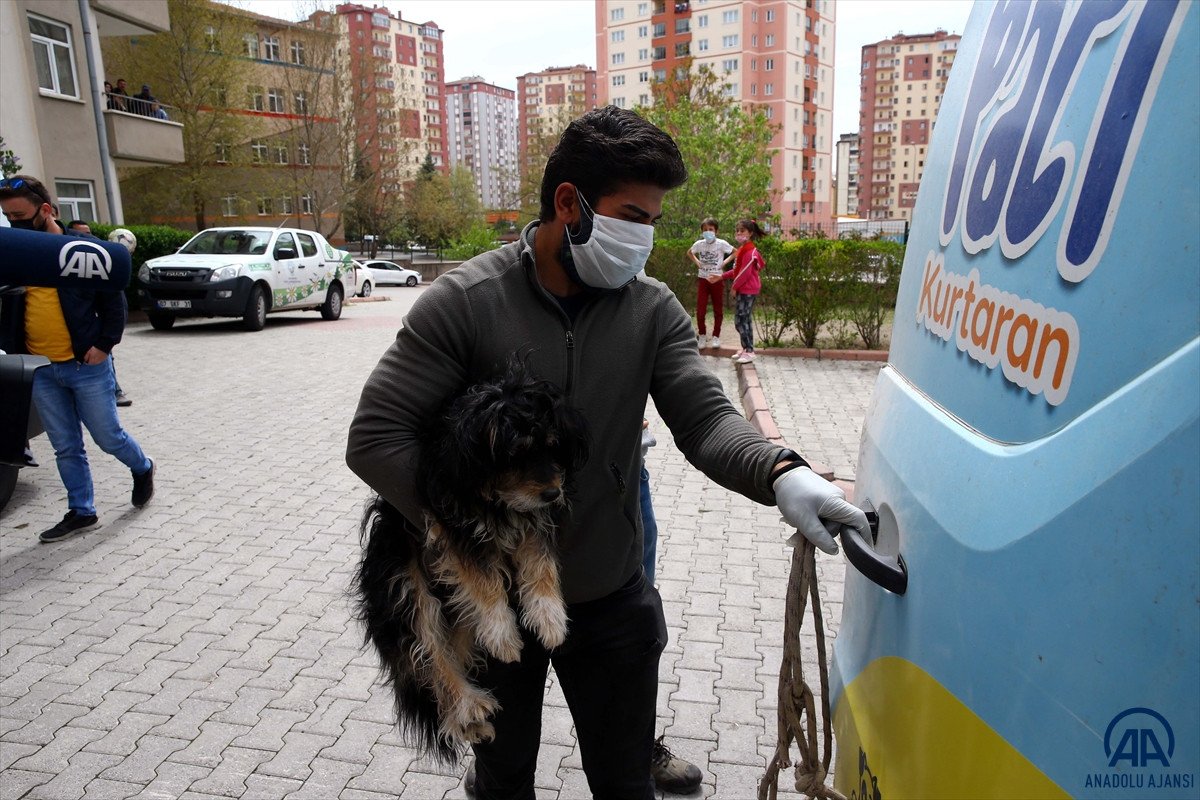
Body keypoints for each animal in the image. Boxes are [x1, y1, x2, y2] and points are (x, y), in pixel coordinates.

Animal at [350, 362, 588, 762]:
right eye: (516, 454)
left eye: (553, 445)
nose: (553, 492)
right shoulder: (449, 520)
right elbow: (481, 575)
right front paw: (504, 632)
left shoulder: (531, 517)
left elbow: (539, 561)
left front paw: (549, 616)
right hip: (408, 591)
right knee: (431, 656)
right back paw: (468, 705)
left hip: (456, 615)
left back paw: (467, 720)